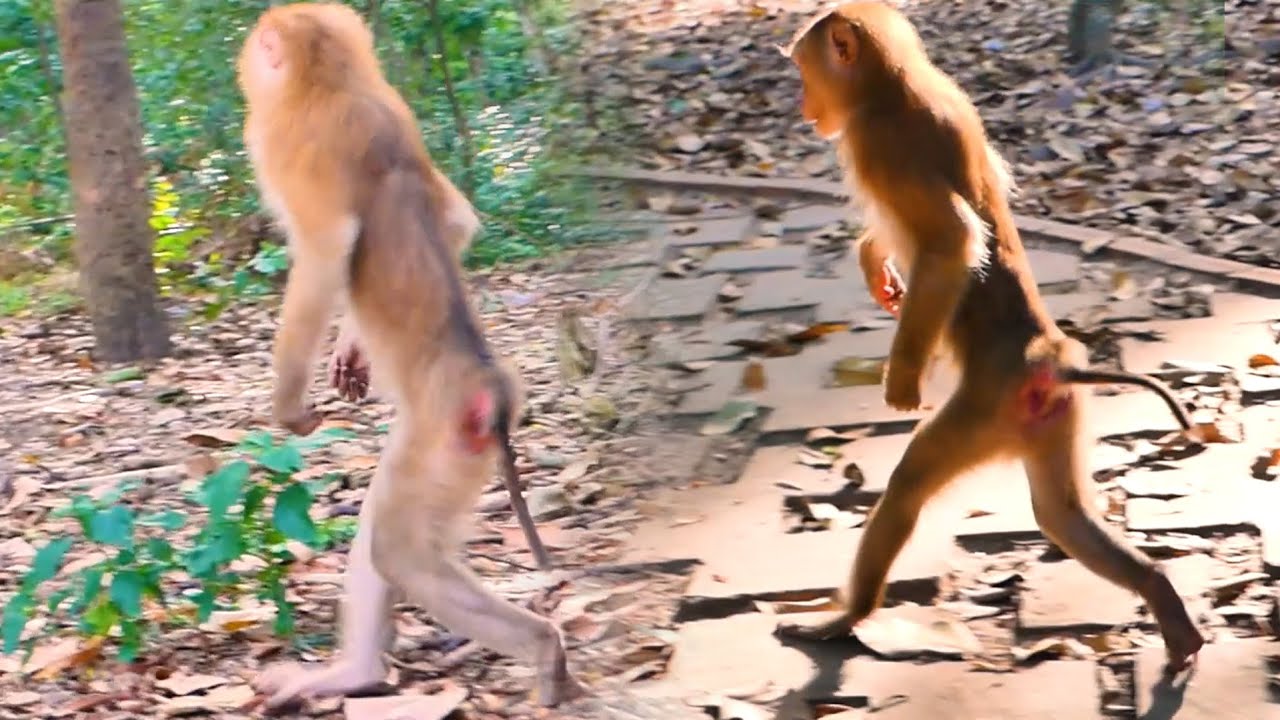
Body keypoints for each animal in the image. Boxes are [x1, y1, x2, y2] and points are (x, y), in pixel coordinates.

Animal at [235, 3, 582, 710]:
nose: (247, 63)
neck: (334, 78)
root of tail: (491, 391)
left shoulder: (288, 139)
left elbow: (325, 252)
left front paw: (289, 407)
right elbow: (458, 221)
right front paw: (350, 349)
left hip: (445, 439)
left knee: (400, 552)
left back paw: (542, 648)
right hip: (441, 451)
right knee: (381, 536)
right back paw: (354, 674)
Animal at [774, 2, 1204, 674]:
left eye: (804, 73)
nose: (801, 103)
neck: (894, 87)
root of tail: (1048, 358)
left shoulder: (878, 143)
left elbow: (952, 242)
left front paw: (902, 377)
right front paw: (876, 263)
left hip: (986, 410)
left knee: (909, 486)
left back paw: (849, 617)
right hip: (1049, 414)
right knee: (1061, 515)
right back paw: (1163, 600)